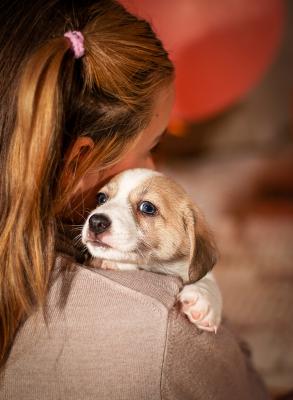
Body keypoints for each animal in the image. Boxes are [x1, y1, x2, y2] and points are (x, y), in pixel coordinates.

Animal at [81, 168, 220, 332]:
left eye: (147, 207)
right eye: (101, 198)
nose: (96, 222)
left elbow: (208, 281)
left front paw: (204, 301)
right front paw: (108, 263)